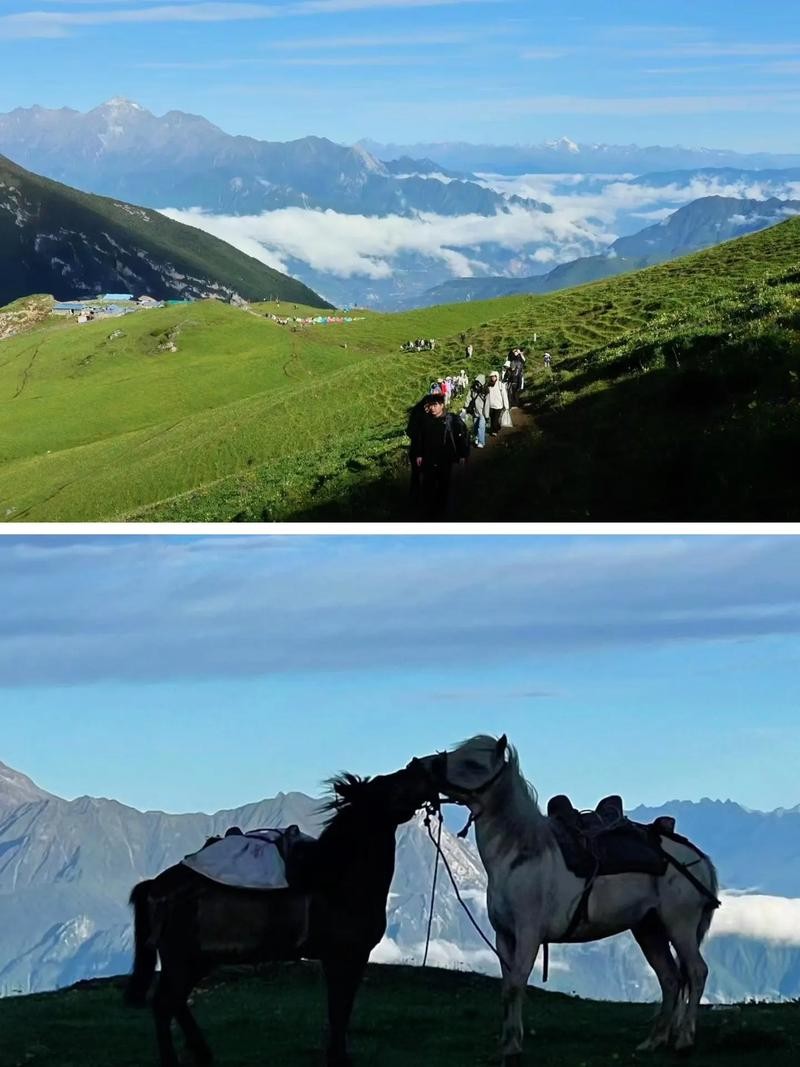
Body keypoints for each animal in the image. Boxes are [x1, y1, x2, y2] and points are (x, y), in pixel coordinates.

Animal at [125, 768, 433, 1067]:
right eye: (391, 784)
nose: (422, 770)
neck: (336, 877)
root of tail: (156, 885)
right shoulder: (346, 956)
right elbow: (340, 1007)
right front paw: (338, 1057)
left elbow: (338, 1007)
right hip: (182, 959)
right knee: (164, 1003)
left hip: (197, 960)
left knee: (175, 1002)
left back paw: (202, 1052)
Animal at [413, 734, 721, 1067]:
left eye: (473, 763)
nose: (422, 766)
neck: (519, 855)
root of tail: (698, 858)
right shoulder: (504, 936)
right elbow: (507, 988)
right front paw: (506, 1044)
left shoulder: (529, 935)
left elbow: (516, 985)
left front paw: (512, 1047)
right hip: (649, 930)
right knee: (671, 978)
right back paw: (654, 1040)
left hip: (680, 926)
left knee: (696, 972)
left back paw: (684, 1040)